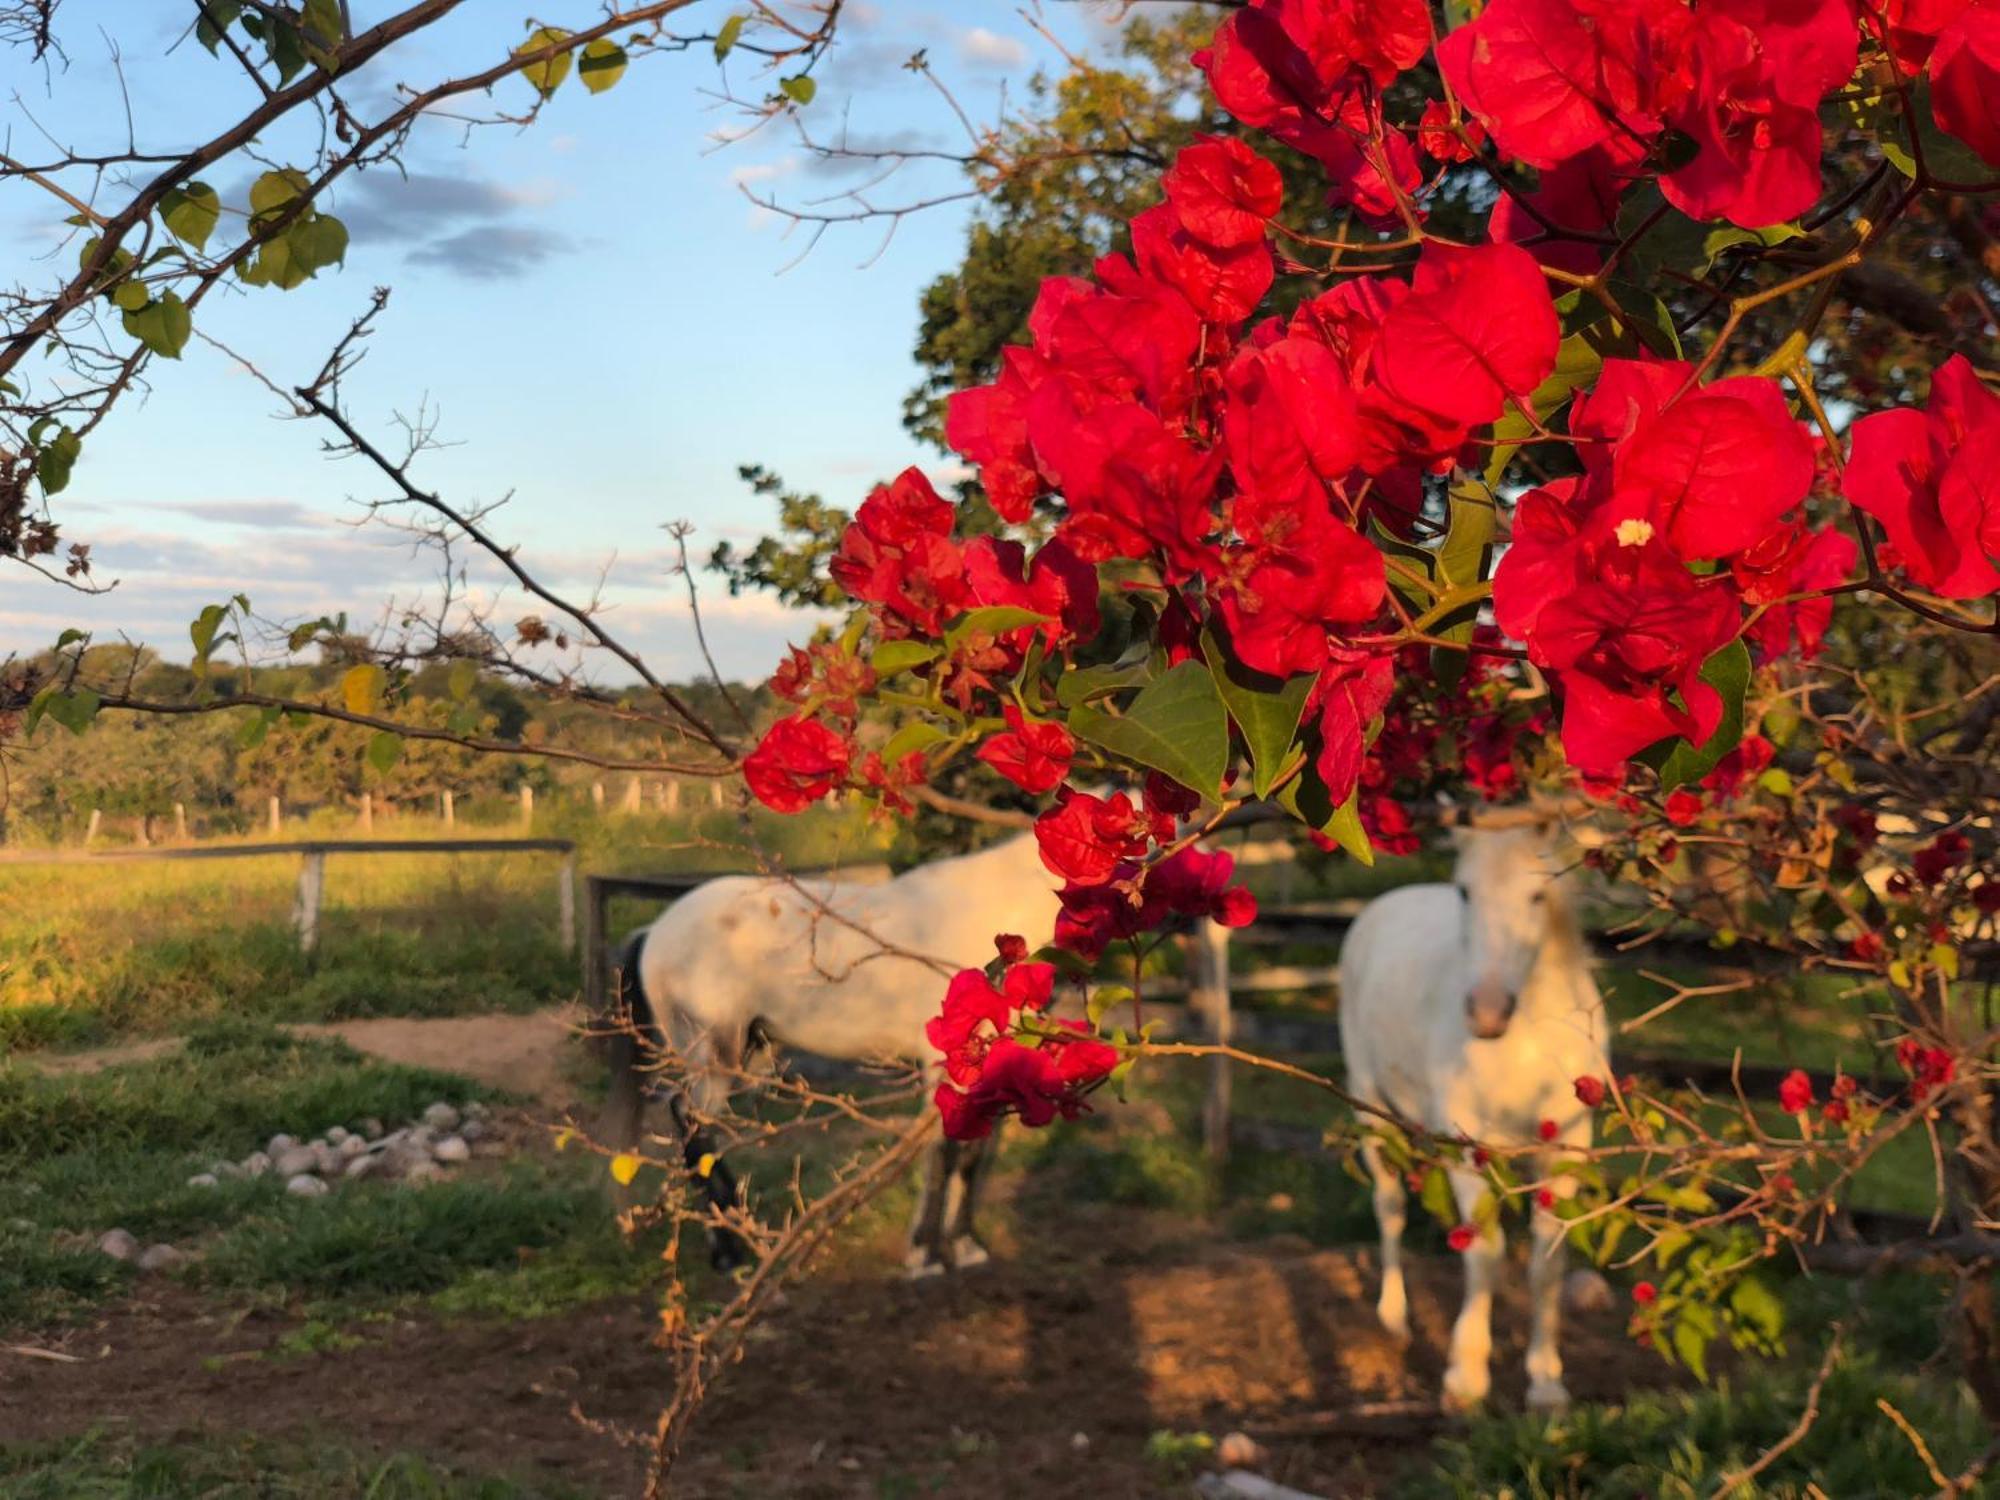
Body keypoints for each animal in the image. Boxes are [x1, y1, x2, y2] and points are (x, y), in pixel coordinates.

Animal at [596, 836, 1056, 1280]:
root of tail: (653, 930)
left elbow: (972, 1153)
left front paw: (964, 1247)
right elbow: (945, 1151)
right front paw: (924, 1255)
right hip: (712, 1059)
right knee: (692, 1128)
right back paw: (730, 1253)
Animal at [1344, 824, 1608, 1424]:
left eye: (1538, 895)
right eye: (1465, 892)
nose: (1487, 1012)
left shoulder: (1566, 1148)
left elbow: (1547, 1263)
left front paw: (1546, 1384)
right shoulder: (1469, 1144)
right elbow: (1485, 1252)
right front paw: (1465, 1379)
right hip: (1369, 1105)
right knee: (1389, 1206)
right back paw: (1393, 1317)